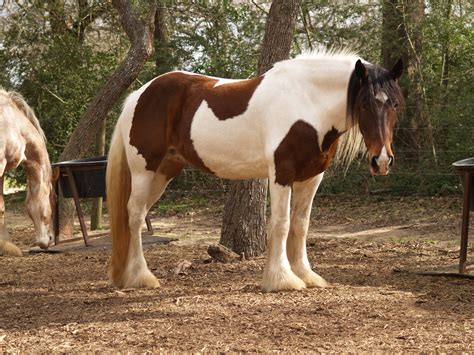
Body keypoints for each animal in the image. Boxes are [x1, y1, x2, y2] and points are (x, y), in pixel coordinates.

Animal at [106, 48, 404, 292]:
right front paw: (282, 279)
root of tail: (138, 95)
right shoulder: (282, 173)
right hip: (144, 170)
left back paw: (128, 276)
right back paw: (142, 277)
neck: (306, 101)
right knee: (135, 215)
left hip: (164, 172)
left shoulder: (311, 177)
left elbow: (301, 225)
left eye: (395, 104)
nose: (381, 161)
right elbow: (281, 224)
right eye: (364, 104)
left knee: (136, 214)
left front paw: (306, 275)